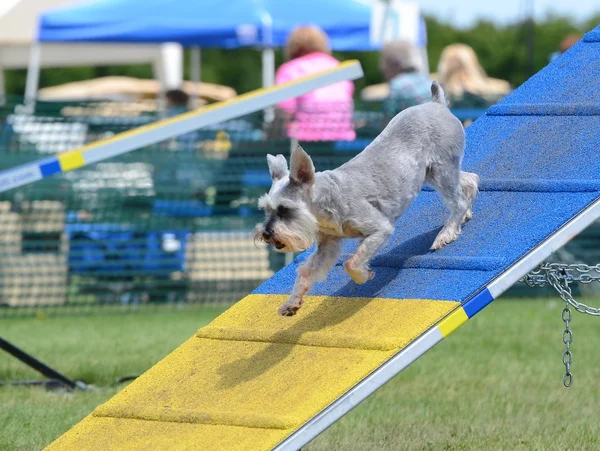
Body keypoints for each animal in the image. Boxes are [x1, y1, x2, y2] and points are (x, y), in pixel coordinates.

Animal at [255, 82, 480, 318]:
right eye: (265, 209)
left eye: (284, 209)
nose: (266, 234)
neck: (328, 200)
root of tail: (437, 104)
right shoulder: (327, 246)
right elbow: (306, 272)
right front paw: (292, 303)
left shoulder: (379, 229)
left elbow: (351, 263)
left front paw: (364, 276)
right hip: (434, 174)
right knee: (470, 181)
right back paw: (464, 217)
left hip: (442, 170)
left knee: (458, 200)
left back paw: (446, 234)